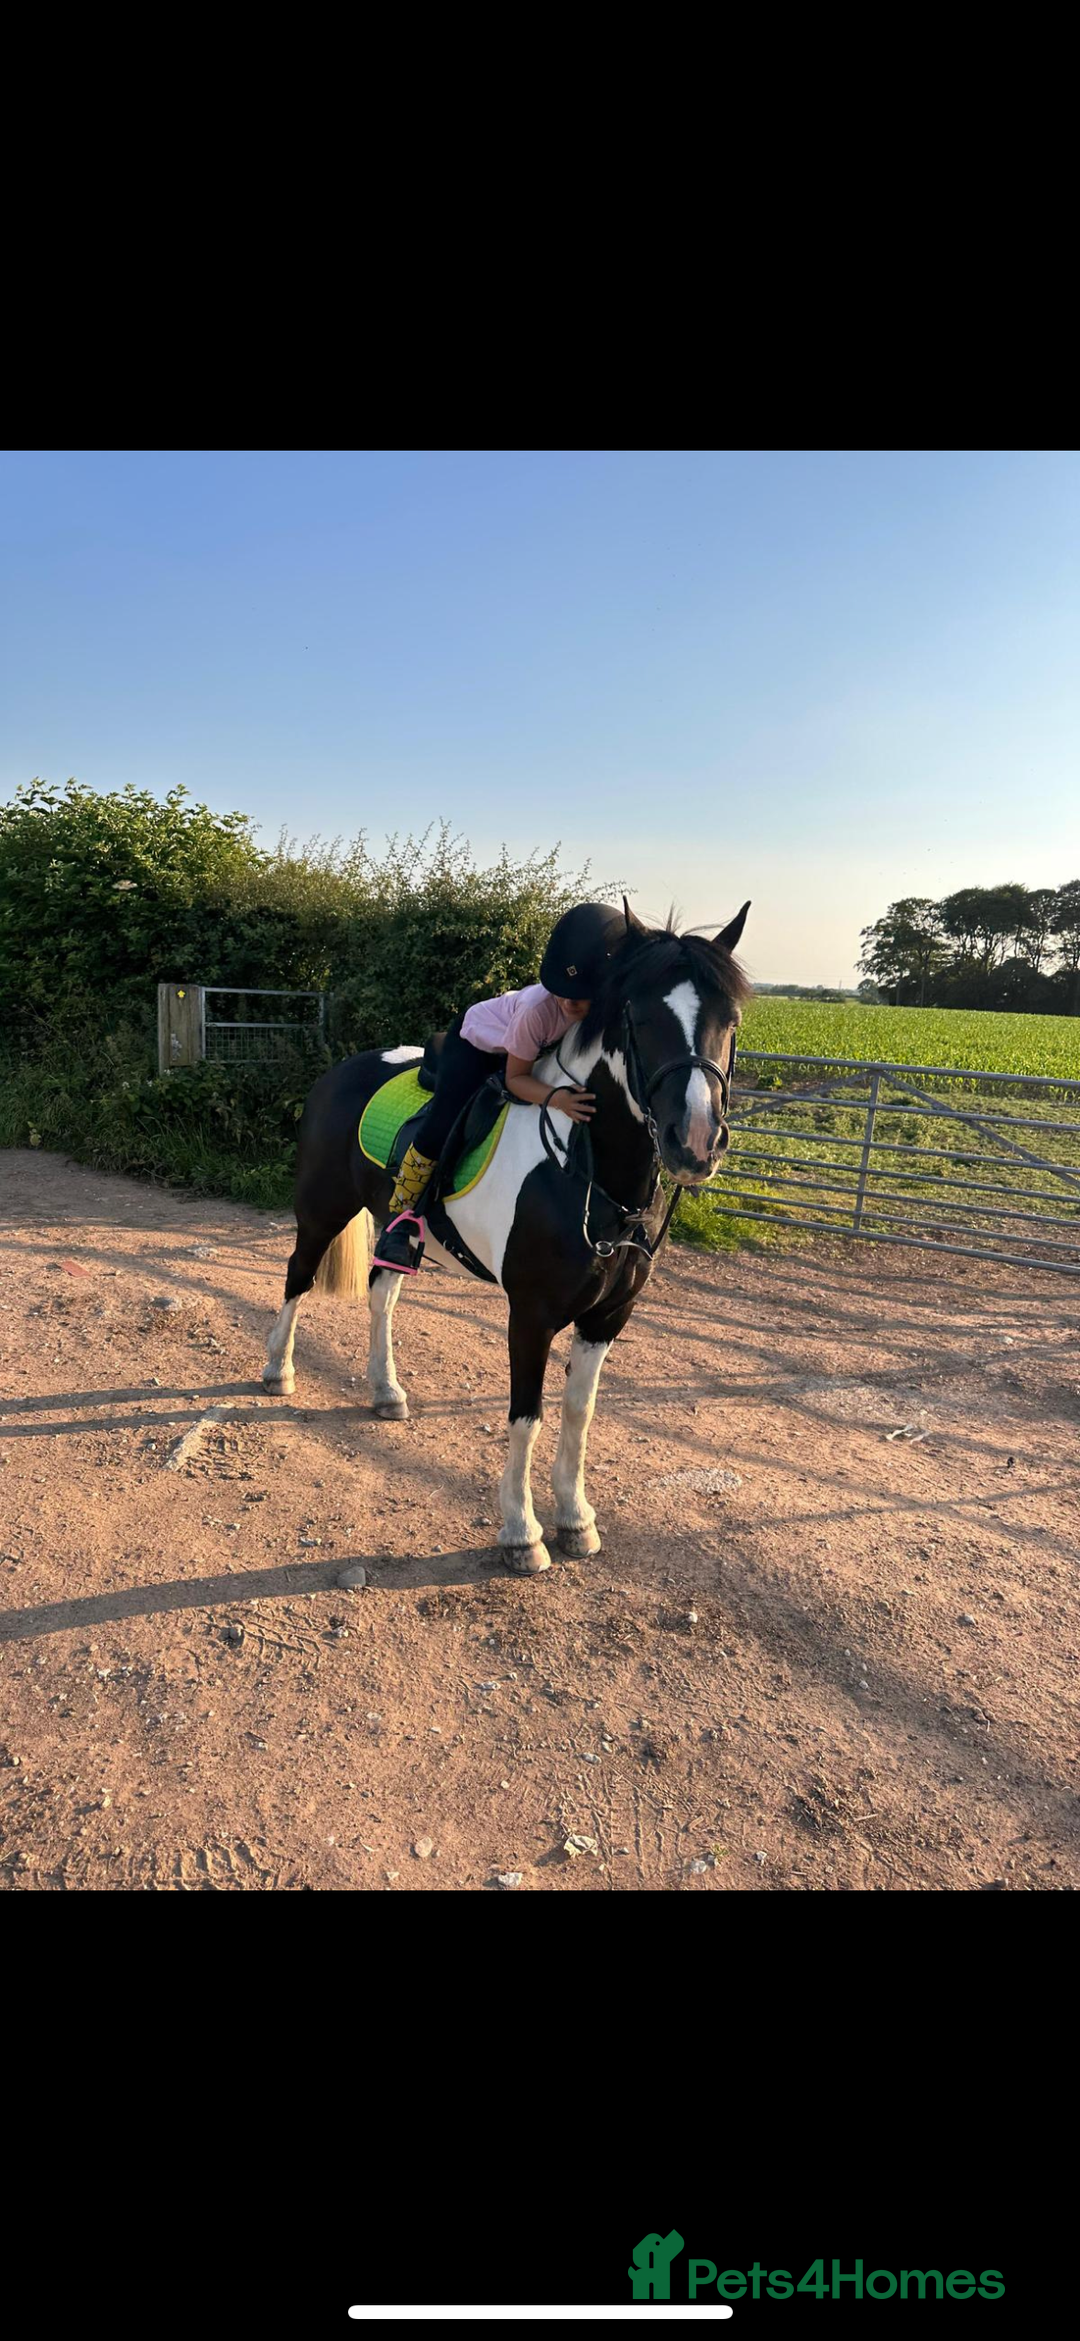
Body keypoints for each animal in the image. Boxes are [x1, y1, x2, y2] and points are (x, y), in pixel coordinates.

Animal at [261, 901, 751, 1573]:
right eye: (641, 1016)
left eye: (730, 1020)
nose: (695, 1142)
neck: (585, 1169)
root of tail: (345, 1067)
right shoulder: (532, 1313)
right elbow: (527, 1416)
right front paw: (522, 1532)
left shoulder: (608, 1316)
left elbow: (578, 1413)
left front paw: (576, 1518)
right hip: (321, 1209)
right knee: (298, 1276)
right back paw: (277, 1370)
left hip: (396, 1229)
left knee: (382, 1292)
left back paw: (385, 1390)